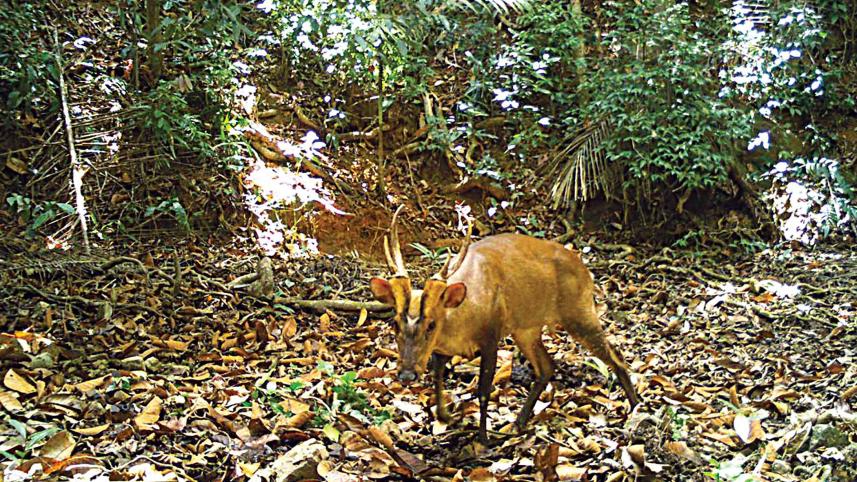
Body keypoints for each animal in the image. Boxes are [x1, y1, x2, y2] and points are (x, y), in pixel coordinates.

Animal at [369, 207, 639, 443]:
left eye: (431, 325)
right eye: (395, 324)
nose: (406, 374)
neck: (463, 317)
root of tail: (585, 270)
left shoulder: (491, 337)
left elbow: (483, 391)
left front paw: (483, 439)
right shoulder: (442, 349)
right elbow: (437, 376)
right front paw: (446, 416)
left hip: (578, 311)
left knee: (616, 356)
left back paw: (636, 408)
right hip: (526, 329)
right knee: (547, 367)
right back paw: (518, 422)